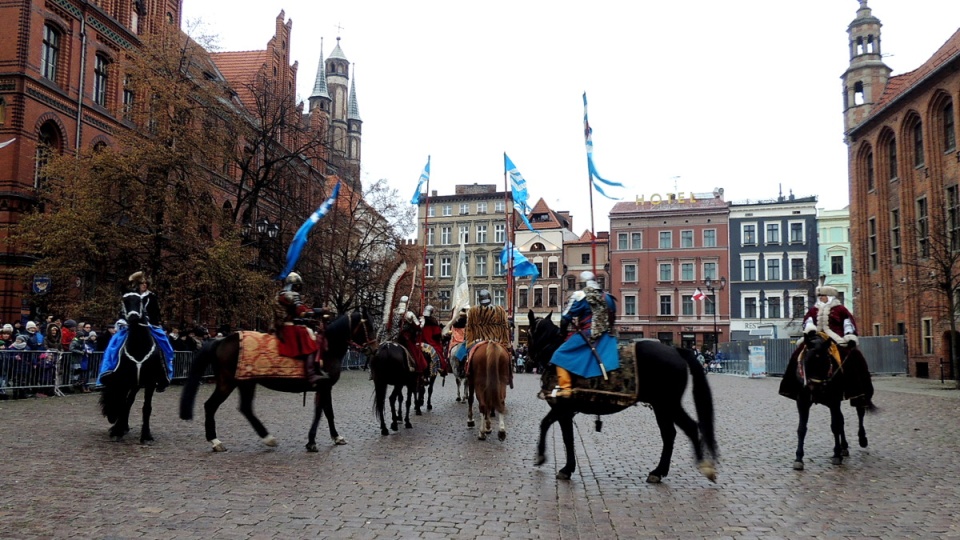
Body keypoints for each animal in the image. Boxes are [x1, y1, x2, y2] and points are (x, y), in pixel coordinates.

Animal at [99, 292, 167, 442]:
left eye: (140, 301)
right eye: (124, 301)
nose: (133, 317)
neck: (139, 346)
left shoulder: (150, 382)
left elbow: (146, 407)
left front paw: (146, 434)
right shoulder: (123, 381)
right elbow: (122, 403)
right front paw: (117, 430)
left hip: (136, 384)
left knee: (129, 401)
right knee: (125, 401)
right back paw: (120, 426)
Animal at [178, 308, 376, 452]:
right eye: (370, 327)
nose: (374, 349)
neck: (327, 349)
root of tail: (221, 341)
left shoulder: (324, 388)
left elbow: (327, 412)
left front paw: (335, 437)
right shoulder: (324, 386)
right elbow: (322, 412)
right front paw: (312, 442)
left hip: (244, 382)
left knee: (244, 408)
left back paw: (265, 438)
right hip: (230, 382)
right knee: (212, 406)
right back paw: (217, 441)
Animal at [524, 312, 720, 486]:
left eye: (528, 335)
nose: (528, 359)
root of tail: (674, 350)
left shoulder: (562, 409)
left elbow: (559, 433)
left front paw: (558, 464)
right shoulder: (563, 411)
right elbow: (556, 430)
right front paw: (555, 462)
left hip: (667, 404)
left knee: (688, 428)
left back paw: (702, 467)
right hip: (662, 406)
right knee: (671, 433)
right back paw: (660, 472)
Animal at [784, 332, 872, 470]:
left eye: (824, 360)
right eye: (806, 360)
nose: (814, 388)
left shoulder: (833, 401)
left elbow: (835, 426)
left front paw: (836, 455)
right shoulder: (802, 402)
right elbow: (802, 429)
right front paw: (799, 458)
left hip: (859, 393)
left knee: (860, 413)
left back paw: (862, 439)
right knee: (841, 420)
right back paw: (844, 447)